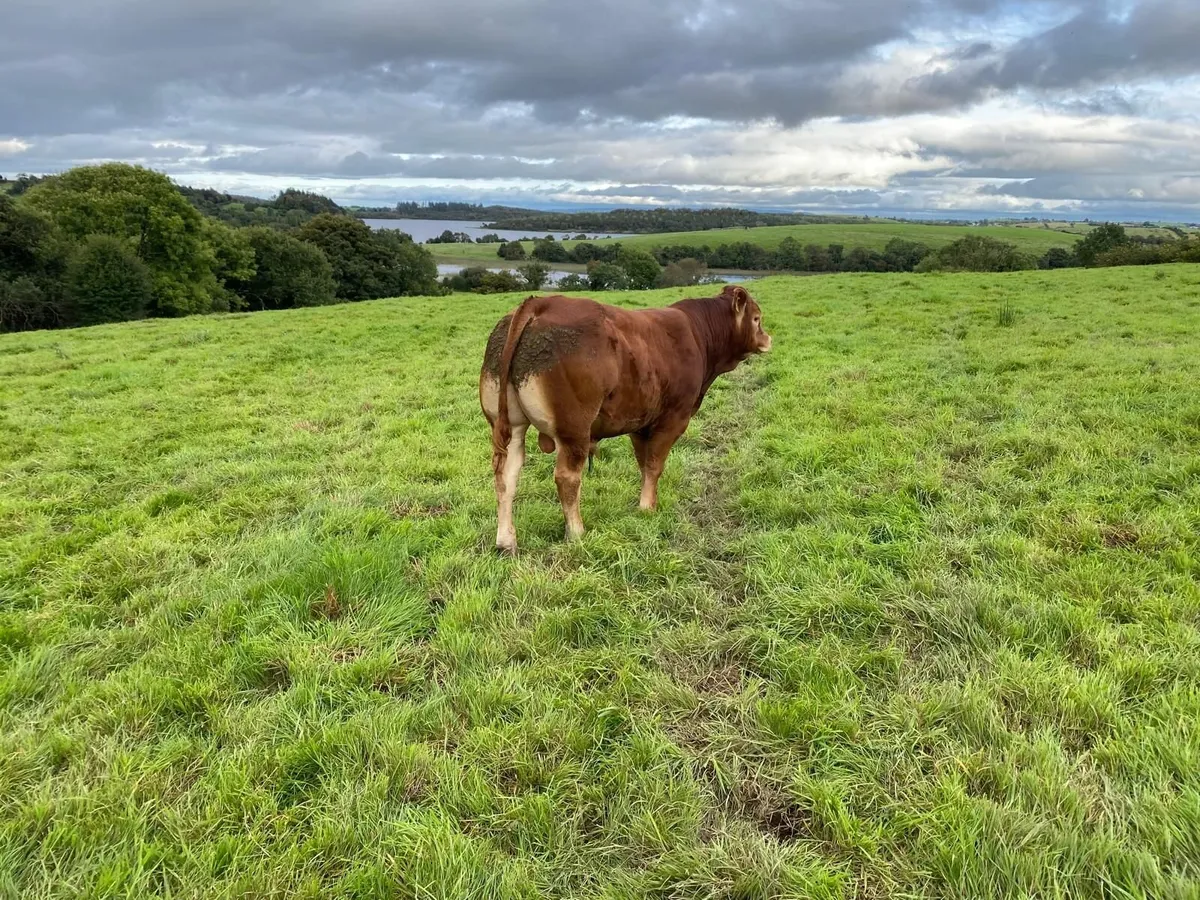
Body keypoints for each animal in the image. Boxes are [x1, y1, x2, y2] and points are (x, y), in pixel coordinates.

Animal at [479, 284, 772, 554]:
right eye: (757, 318)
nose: (768, 339)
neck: (698, 334)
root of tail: (540, 303)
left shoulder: (639, 424)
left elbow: (644, 464)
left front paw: (645, 502)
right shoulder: (673, 418)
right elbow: (654, 465)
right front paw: (647, 509)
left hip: (511, 425)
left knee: (506, 476)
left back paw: (506, 541)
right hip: (574, 430)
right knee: (566, 478)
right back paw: (576, 532)